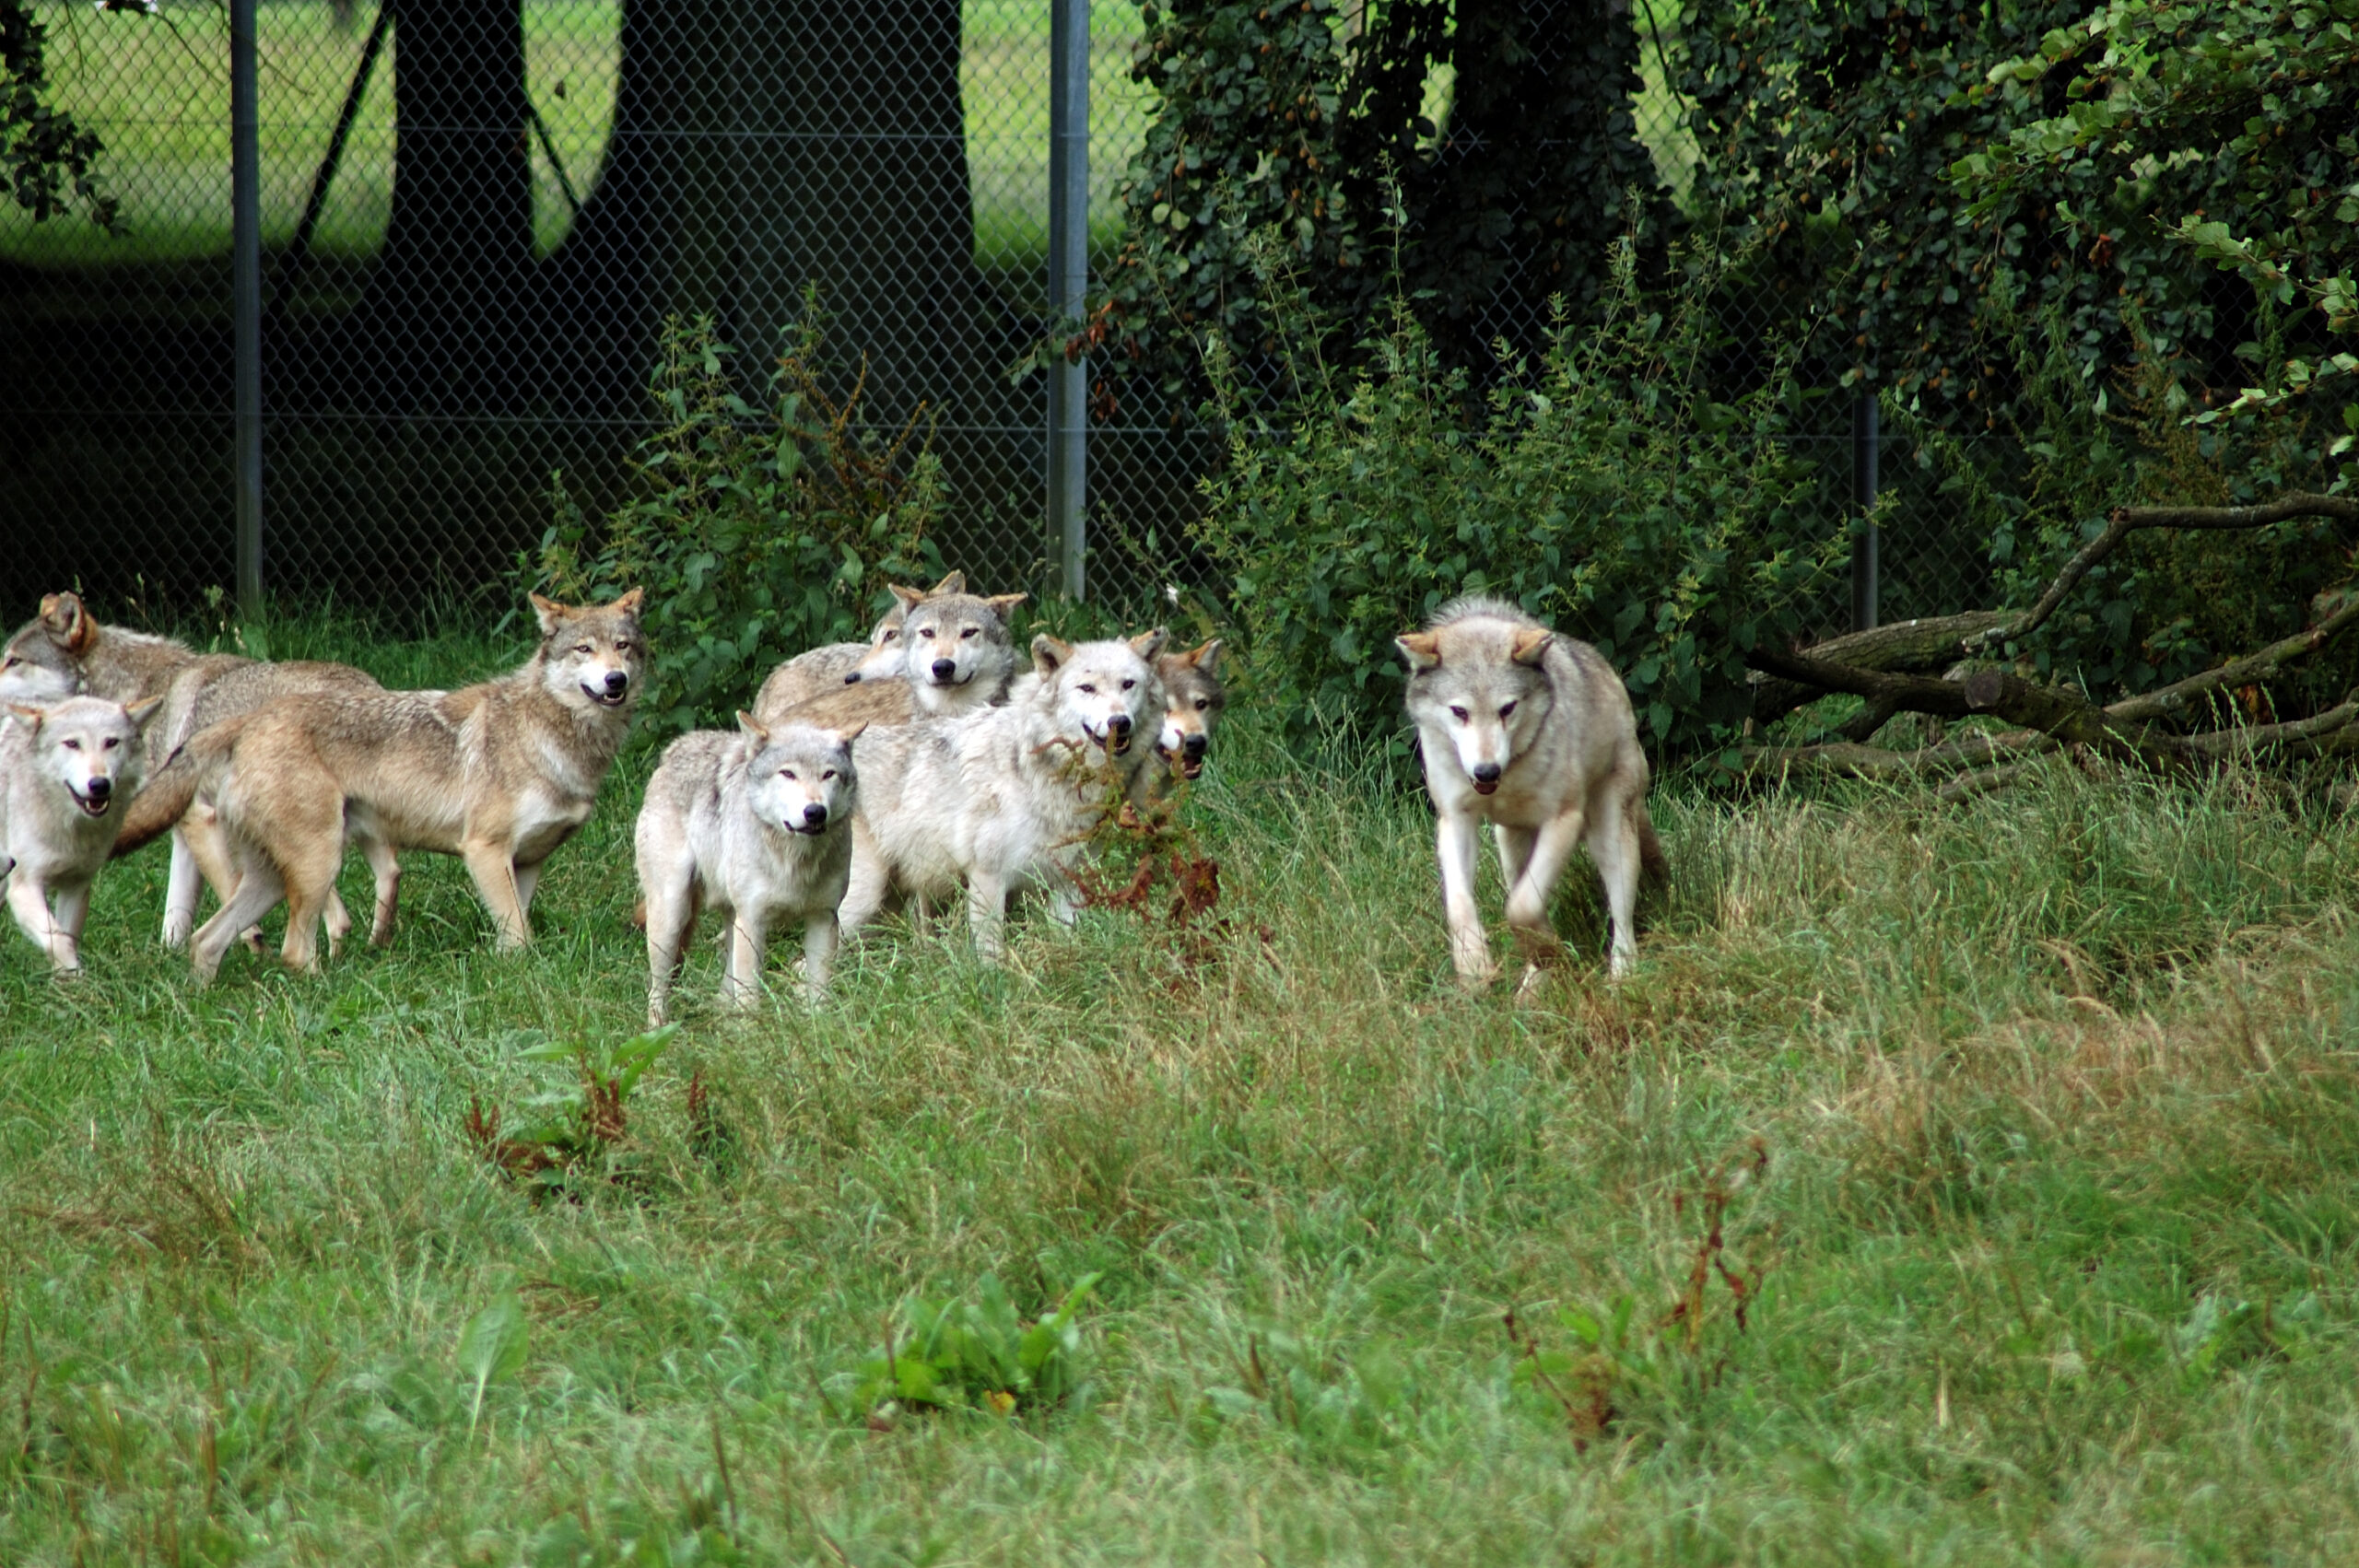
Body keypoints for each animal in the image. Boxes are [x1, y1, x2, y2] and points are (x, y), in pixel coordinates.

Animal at [1, 695, 163, 973]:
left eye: (111, 742)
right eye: (72, 744)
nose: (99, 785)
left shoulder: (76, 886)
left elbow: (68, 938)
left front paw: (67, 980)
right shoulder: (24, 886)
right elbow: (58, 941)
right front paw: (75, 976)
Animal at [113, 591, 646, 982]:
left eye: (623, 647)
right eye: (584, 649)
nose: (616, 681)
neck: (554, 738)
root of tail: (246, 722)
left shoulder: (528, 862)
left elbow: (514, 936)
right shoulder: (484, 851)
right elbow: (521, 938)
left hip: (271, 880)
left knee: (206, 940)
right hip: (319, 865)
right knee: (293, 950)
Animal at [636, 713, 864, 1024]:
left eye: (829, 774)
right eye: (788, 774)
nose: (815, 812)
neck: (794, 862)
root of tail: (674, 749)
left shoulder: (824, 919)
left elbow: (819, 992)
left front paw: (819, 1028)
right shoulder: (753, 922)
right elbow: (751, 998)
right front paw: (753, 1034)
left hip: (730, 920)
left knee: (724, 985)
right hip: (672, 917)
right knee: (657, 988)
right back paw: (659, 1029)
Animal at [837, 630, 1166, 962]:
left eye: (1128, 684)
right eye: (1087, 688)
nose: (1119, 722)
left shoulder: (1068, 883)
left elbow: (1065, 940)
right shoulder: (987, 878)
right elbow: (992, 958)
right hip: (864, 897)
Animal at [1396, 596, 1663, 986]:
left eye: (1507, 708)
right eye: (1459, 711)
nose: (1486, 771)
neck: (1508, 778)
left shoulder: (1563, 820)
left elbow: (1520, 910)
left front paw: (1548, 948)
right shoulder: (1455, 820)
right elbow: (1460, 904)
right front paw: (1474, 965)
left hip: (1610, 836)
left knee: (1622, 917)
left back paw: (1620, 975)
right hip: (1510, 847)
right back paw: (1533, 987)